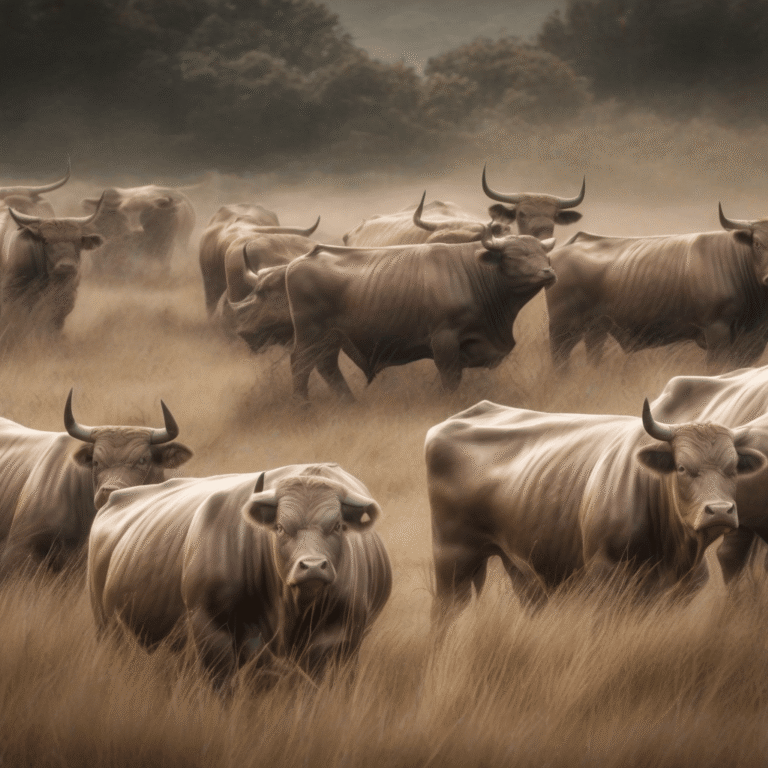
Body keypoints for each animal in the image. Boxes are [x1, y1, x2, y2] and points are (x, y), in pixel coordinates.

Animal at [88, 463, 392, 685]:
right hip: (107, 628)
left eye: (338, 525)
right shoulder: (212, 631)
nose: (313, 566)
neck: (290, 608)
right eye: (280, 527)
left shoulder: (338, 642)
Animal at [285, 229, 556, 402]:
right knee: (301, 366)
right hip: (310, 336)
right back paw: (303, 405)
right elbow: (450, 379)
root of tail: (303, 259)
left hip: (332, 338)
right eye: (512, 255)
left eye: (545, 256)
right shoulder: (445, 340)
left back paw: (349, 403)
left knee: (327, 366)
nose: (548, 272)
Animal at [426, 398, 768, 623]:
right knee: (445, 613)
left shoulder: (684, 589)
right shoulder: (606, 580)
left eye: (734, 468)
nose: (720, 511)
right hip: (452, 558)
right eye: (682, 467)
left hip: (520, 564)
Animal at [547, 205, 768, 370]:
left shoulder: (752, 340)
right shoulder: (717, 332)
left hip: (596, 329)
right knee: (559, 361)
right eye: (757, 244)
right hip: (562, 329)